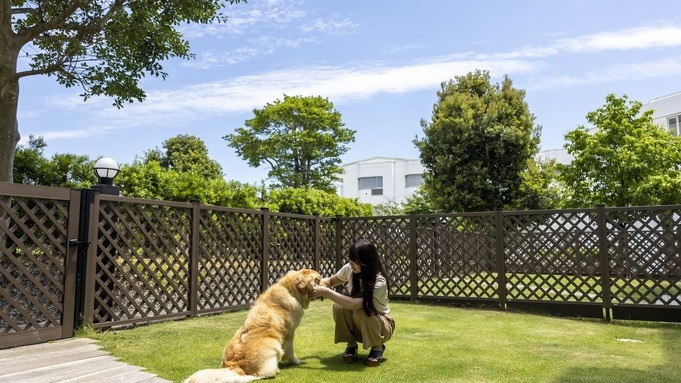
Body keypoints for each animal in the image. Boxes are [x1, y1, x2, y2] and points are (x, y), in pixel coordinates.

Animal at [183, 270, 322, 383]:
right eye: (317, 280)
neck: (289, 290)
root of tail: (235, 366)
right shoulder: (290, 333)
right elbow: (290, 351)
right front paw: (296, 361)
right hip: (273, 344)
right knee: (258, 375)